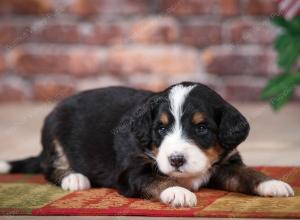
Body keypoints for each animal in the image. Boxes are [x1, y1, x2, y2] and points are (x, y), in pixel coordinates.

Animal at [0, 81, 294, 207]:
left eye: (201, 128)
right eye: (161, 128)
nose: (176, 160)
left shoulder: (227, 162)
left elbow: (247, 173)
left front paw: (273, 183)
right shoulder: (133, 171)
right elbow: (159, 180)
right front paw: (178, 192)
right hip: (53, 131)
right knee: (49, 167)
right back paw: (74, 178)